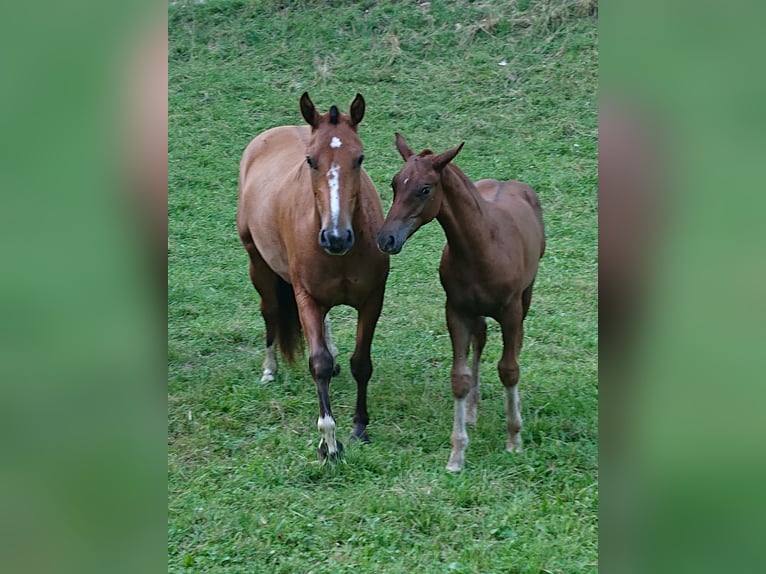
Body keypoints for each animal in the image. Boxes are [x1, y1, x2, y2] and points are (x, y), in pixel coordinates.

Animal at [237, 93, 389, 461]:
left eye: (359, 158)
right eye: (310, 159)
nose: (336, 237)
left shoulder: (372, 299)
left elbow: (361, 362)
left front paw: (359, 427)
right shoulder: (305, 296)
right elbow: (317, 362)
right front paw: (329, 442)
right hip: (257, 263)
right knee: (270, 313)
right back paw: (269, 369)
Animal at [377, 133, 545, 472]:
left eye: (425, 188)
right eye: (394, 183)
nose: (387, 239)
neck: (483, 246)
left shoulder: (510, 311)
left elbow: (509, 369)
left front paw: (514, 438)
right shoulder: (455, 311)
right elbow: (459, 377)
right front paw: (457, 453)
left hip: (526, 295)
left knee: (516, 346)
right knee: (480, 341)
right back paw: (471, 410)